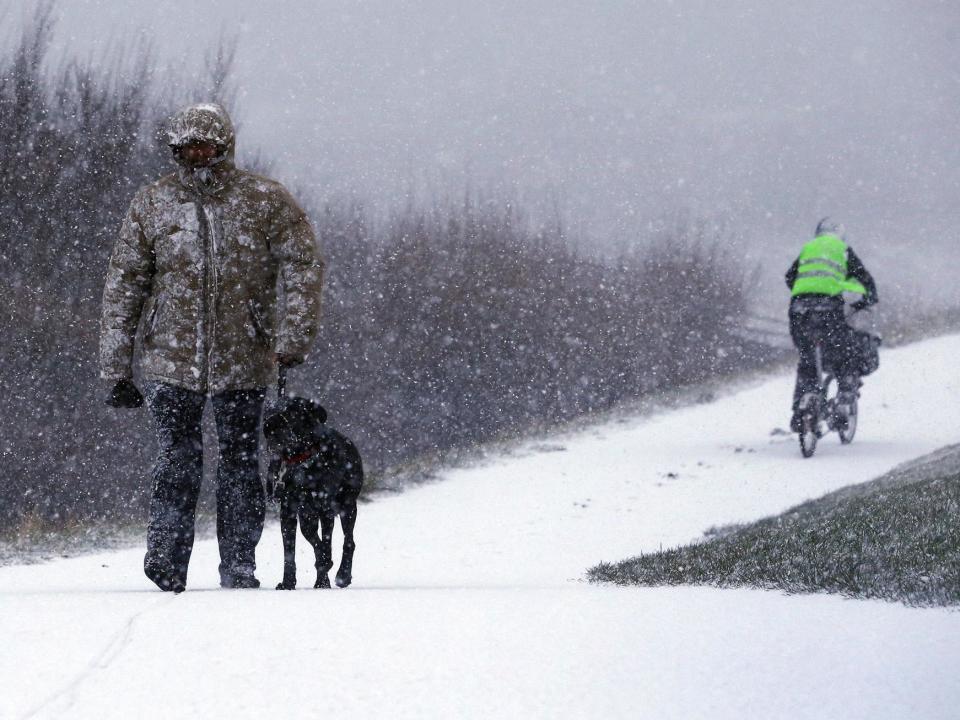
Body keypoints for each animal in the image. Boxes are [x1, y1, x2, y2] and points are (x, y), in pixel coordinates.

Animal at [262, 400, 364, 592]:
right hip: (308, 515)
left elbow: (325, 544)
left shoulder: (325, 508)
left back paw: (342, 575)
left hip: (347, 505)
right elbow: (291, 550)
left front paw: (326, 570)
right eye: (268, 412)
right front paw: (288, 582)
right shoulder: (288, 512)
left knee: (349, 541)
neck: (301, 461)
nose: (269, 425)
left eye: (291, 411)